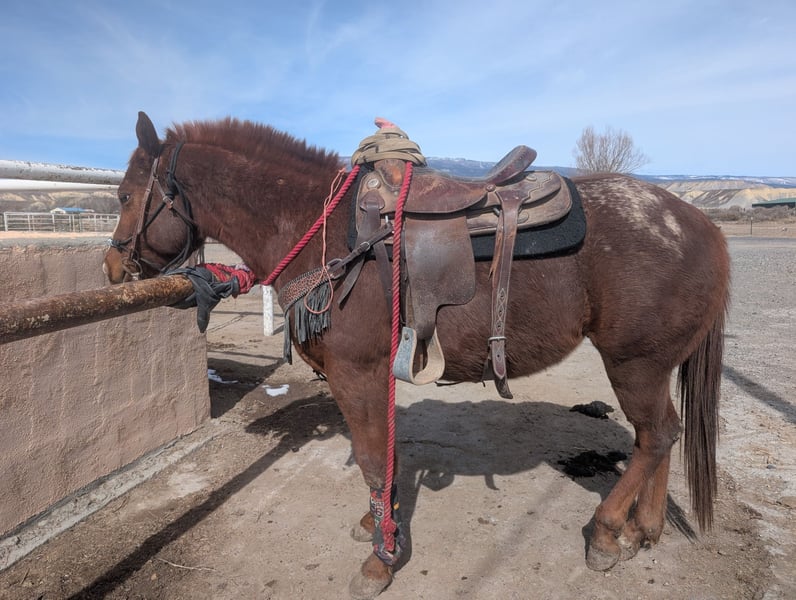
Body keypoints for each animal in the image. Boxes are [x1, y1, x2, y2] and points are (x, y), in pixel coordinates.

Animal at [104, 111, 730, 599]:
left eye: (126, 195)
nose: (111, 269)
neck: (320, 227)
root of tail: (700, 223)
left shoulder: (355, 373)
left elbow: (371, 455)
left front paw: (381, 559)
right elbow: (383, 456)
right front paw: (378, 522)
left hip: (634, 362)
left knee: (654, 436)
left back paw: (605, 532)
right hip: (652, 366)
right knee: (661, 435)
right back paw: (643, 530)